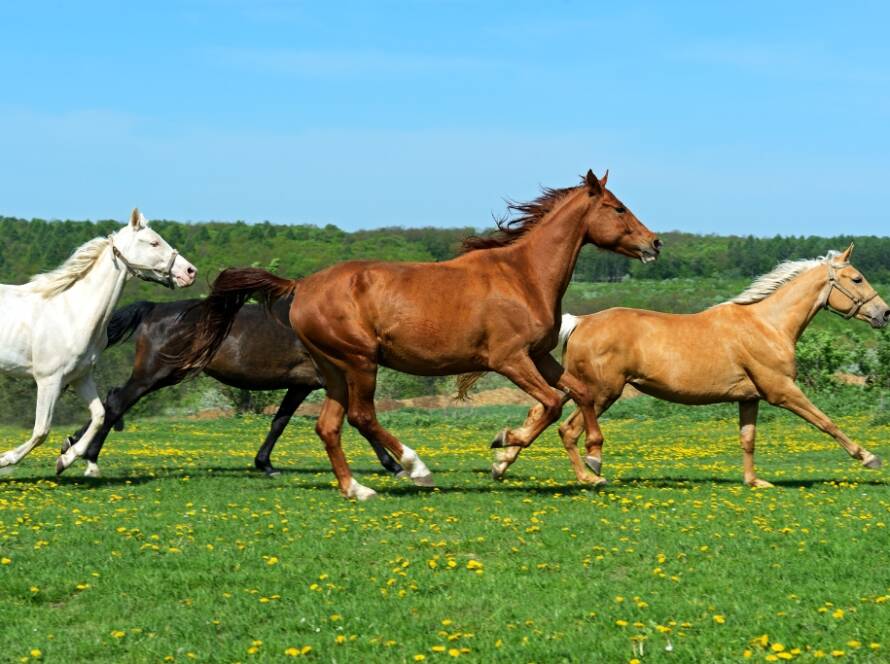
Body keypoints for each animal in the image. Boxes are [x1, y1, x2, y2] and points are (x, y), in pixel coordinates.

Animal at [0, 210, 196, 474]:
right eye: (154, 242)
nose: (190, 271)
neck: (73, 313)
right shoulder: (49, 380)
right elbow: (41, 431)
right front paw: (5, 460)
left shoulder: (80, 376)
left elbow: (100, 415)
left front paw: (67, 458)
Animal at [58, 296, 398, 478]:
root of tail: (154, 309)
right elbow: (360, 420)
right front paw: (393, 464)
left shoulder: (300, 385)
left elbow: (279, 422)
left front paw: (265, 464)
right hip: (154, 375)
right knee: (117, 402)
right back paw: (89, 457)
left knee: (111, 400)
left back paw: (73, 445)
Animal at [179, 171, 660, 498]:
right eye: (618, 207)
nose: (654, 243)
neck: (522, 276)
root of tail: (301, 286)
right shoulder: (509, 359)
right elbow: (553, 403)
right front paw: (504, 448)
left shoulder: (540, 356)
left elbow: (580, 393)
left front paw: (592, 459)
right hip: (359, 362)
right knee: (362, 417)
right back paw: (415, 469)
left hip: (332, 370)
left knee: (328, 426)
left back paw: (357, 489)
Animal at [528, 246, 888, 486]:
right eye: (857, 278)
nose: (884, 313)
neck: (767, 325)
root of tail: (580, 322)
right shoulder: (781, 390)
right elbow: (826, 422)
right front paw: (870, 458)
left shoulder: (749, 398)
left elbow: (748, 439)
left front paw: (754, 482)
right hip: (602, 393)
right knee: (568, 429)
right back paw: (590, 476)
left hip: (577, 386)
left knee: (540, 414)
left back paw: (514, 453)